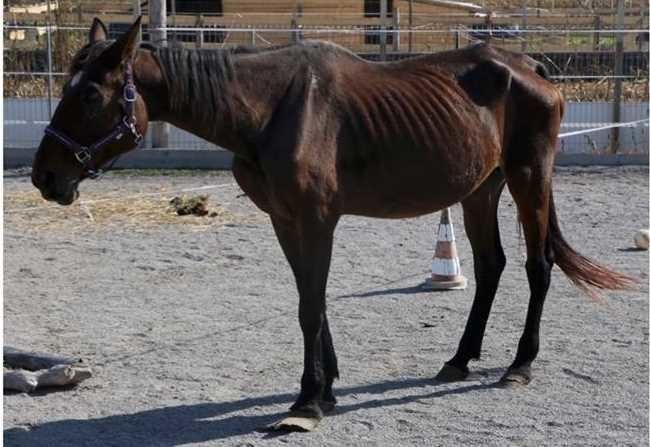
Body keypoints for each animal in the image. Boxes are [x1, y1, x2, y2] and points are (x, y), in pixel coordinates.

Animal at [31, 18, 632, 434]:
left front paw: (307, 401)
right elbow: (311, 302)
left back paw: (520, 365)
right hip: (480, 189)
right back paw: (459, 360)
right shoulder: (285, 220)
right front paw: (327, 388)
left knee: (537, 265)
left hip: (530, 177)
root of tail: (529, 66)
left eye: (89, 94)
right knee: (490, 267)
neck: (271, 109)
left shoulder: (317, 220)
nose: (45, 176)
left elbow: (309, 305)